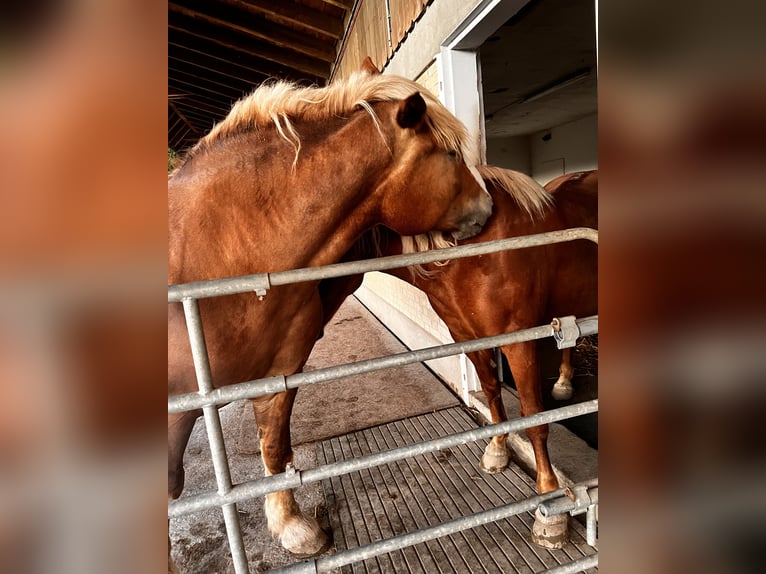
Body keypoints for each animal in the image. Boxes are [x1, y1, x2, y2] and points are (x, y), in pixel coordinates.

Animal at [167, 64, 492, 564]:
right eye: (451, 154)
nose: (489, 208)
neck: (224, 251)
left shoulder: (278, 375)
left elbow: (275, 448)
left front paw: (292, 528)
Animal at [318, 168, 600, 548]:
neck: (467, 254)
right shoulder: (467, 337)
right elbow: (493, 395)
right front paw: (497, 450)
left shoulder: (518, 342)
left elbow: (533, 418)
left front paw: (550, 508)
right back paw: (564, 383)